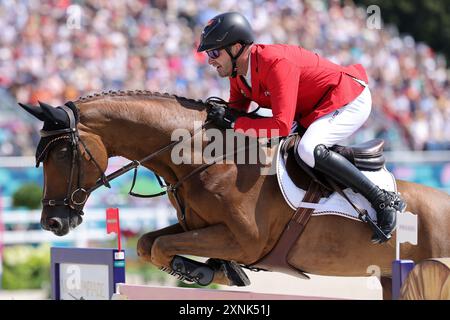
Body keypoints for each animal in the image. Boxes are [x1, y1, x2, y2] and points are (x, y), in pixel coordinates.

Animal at [19, 90, 450, 300]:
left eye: (62, 152)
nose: (53, 222)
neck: (204, 156)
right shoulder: (197, 226)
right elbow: (146, 244)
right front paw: (209, 270)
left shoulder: (242, 240)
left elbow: (161, 248)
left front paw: (202, 271)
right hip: (390, 279)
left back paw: (387, 213)